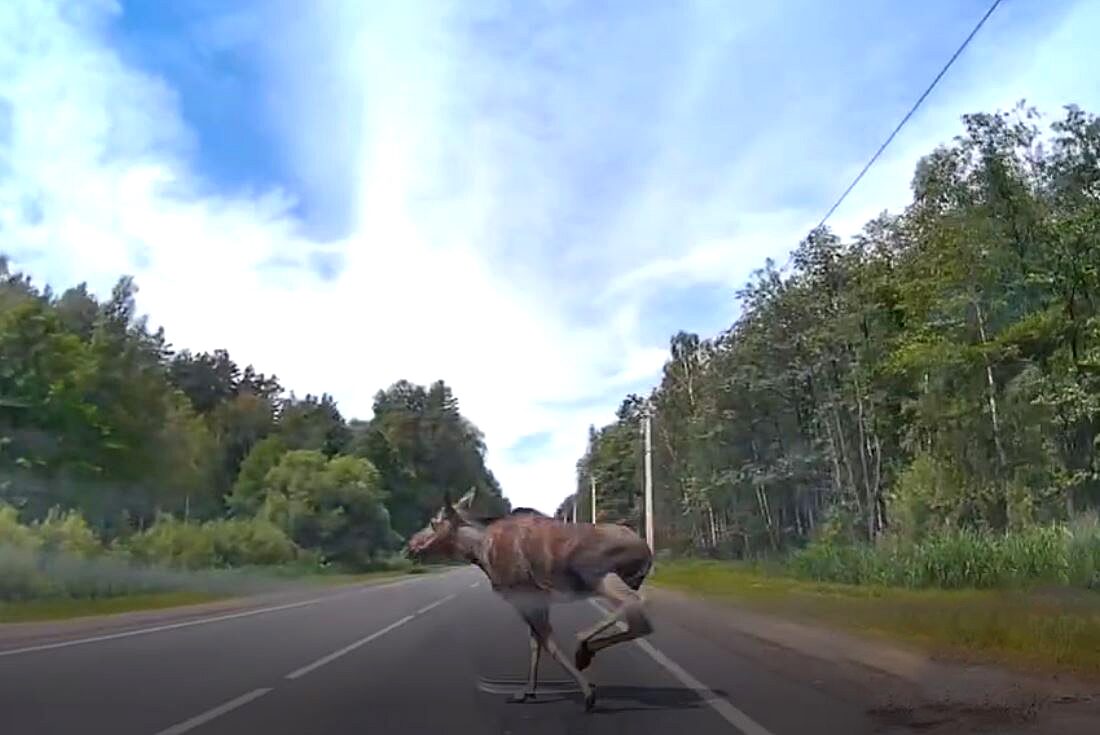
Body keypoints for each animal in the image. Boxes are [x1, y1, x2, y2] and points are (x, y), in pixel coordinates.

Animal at [405, 489, 654, 712]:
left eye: (433, 522)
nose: (411, 544)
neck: (479, 551)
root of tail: (647, 552)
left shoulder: (523, 595)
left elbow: (548, 642)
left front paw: (587, 693)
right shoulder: (535, 599)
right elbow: (535, 643)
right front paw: (528, 691)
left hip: (597, 577)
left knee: (635, 604)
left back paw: (583, 645)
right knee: (640, 621)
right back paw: (586, 651)